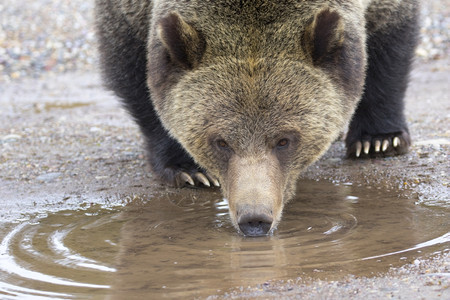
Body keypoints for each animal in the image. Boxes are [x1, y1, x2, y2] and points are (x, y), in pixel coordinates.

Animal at [94, 0, 418, 237]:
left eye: (284, 140)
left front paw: (379, 140)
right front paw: (187, 169)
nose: (254, 219)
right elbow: (132, 65)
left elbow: (390, 39)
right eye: (221, 142)